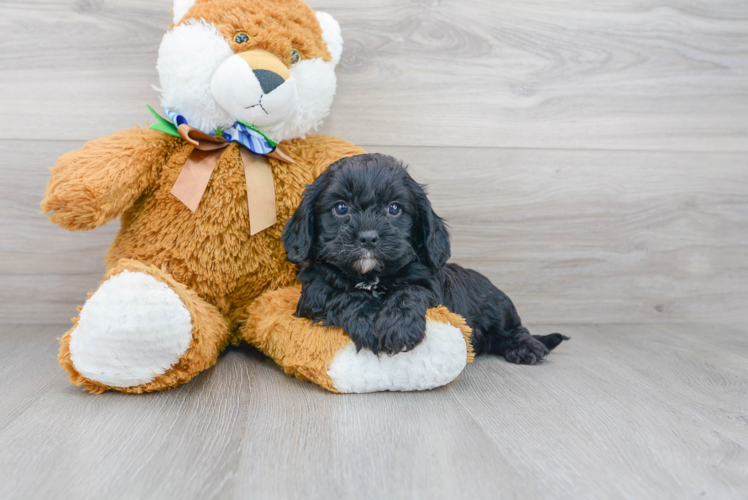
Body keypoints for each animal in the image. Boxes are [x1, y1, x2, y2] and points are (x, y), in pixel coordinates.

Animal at [282, 153, 568, 364]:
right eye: (340, 208)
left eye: (394, 209)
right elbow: (340, 294)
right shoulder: (314, 289)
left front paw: (398, 328)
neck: (372, 275)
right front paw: (366, 321)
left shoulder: (429, 284)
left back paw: (526, 347)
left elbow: (409, 291)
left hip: (497, 308)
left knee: (515, 329)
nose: (368, 238)